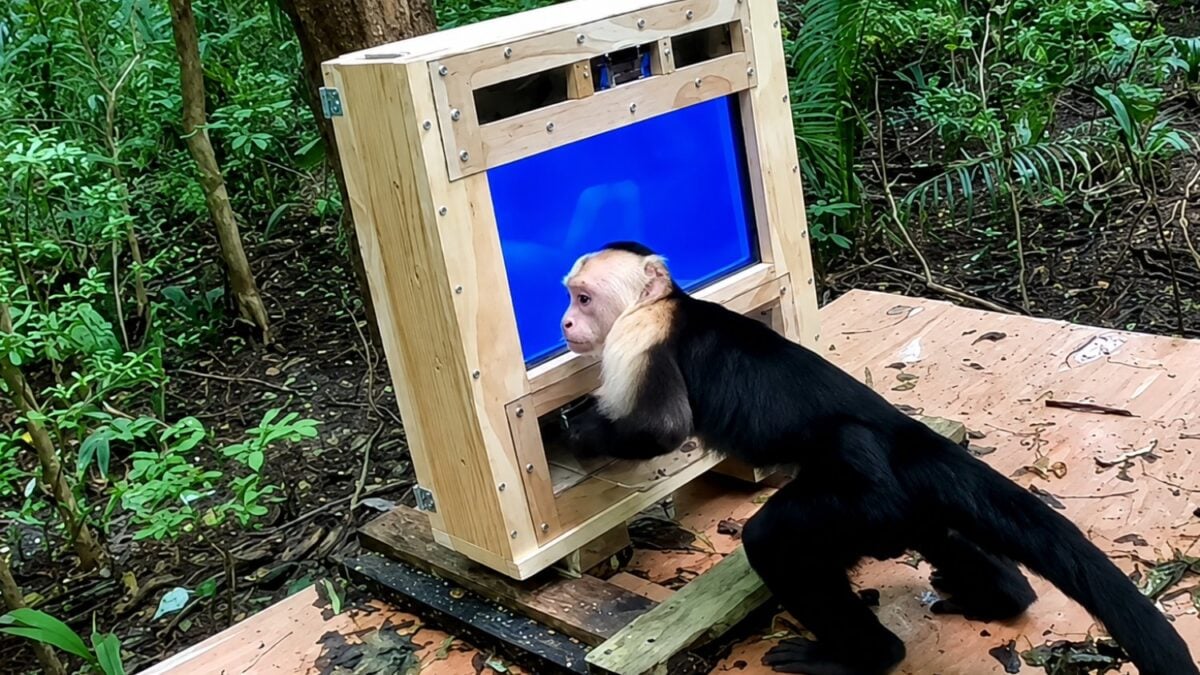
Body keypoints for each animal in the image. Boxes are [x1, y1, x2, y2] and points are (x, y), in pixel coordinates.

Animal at [558, 241, 1198, 675]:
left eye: (582, 298)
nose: (564, 322)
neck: (667, 302)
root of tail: (902, 435)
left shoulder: (638, 336)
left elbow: (661, 430)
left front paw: (581, 431)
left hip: (859, 500)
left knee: (777, 539)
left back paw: (862, 656)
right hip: (895, 508)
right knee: (939, 529)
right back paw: (999, 596)